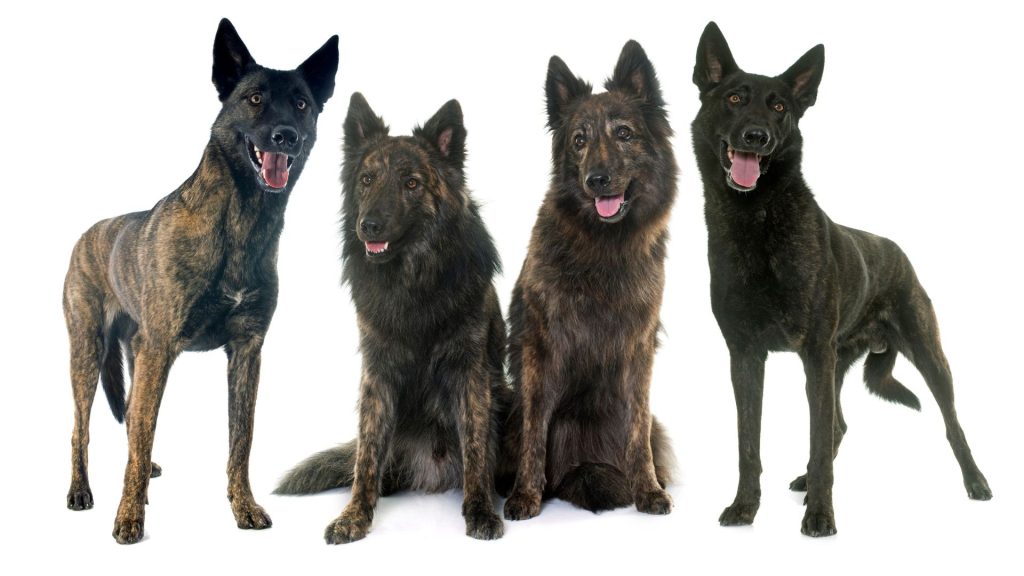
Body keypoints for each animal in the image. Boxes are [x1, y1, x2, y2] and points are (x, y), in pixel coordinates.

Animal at [61, 19, 337, 541]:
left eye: (301, 104)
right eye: (254, 98)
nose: (286, 136)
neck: (241, 220)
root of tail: (87, 233)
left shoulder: (246, 352)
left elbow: (240, 441)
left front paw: (243, 506)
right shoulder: (161, 348)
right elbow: (140, 430)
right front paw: (128, 518)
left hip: (135, 353)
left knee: (133, 423)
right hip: (88, 353)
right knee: (83, 428)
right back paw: (81, 491)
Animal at [276, 91, 507, 541]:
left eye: (411, 183)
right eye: (366, 180)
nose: (369, 226)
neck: (413, 280)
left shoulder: (470, 372)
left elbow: (476, 448)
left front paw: (481, 510)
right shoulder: (377, 372)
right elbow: (367, 454)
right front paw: (354, 515)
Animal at [497, 40, 675, 516]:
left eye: (624, 134)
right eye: (579, 141)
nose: (597, 180)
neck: (603, 245)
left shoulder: (639, 349)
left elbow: (637, 431)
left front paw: (647, 489)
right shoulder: (541, 347)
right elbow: (535, 430)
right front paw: (525, 495)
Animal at [688, 21, 991, 532]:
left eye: (780, 107)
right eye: (733, 98)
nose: (757, 136)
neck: (757, 220)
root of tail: (900, 253)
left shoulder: (814, 353)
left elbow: (816, 437)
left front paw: (820, 516)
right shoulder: (745, 356)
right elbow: (749, 444)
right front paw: (746, 507)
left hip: (925, 355)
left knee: (951, 425)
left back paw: (975, 481)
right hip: (838, 364)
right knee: (839, 425)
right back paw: (806, 481)